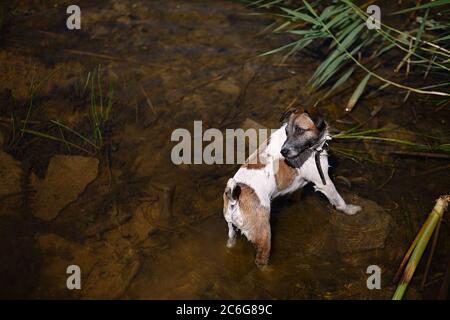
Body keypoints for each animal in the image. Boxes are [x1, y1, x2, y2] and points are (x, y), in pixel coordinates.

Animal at [222, 107, 362, 268]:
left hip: (231, 230)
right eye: (287, 132)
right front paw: (351, 210)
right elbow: (339, 201)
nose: (284, 152)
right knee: (261, 260)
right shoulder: (324, 182)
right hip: (263, 234)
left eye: (300, 130)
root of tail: (234, 200)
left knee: (231, 240)